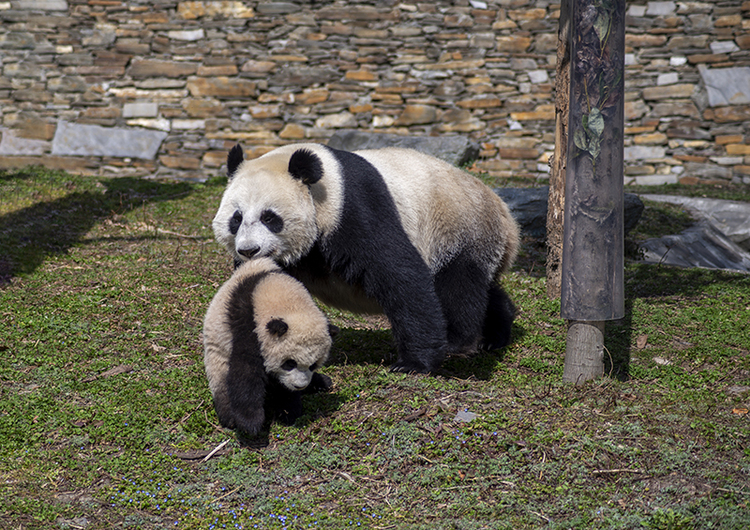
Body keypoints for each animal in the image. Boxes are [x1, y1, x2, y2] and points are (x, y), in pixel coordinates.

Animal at [204, 256, 336, 434]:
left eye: (313, 365)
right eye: (289, 363)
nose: (299, 386)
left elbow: (281, 383)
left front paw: (288, 410)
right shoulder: (246, 324)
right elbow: (246, 369)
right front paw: (250, 423)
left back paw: (321, 382)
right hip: (217, 357)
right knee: (222, 384)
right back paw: (229, 417)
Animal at [212, 143, 516, 372]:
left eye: (269, 217)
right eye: (236, 218)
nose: (249, 250)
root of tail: (507, 217)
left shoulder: (353, 207)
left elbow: (399, 274)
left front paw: (414, 363)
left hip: (459, 228)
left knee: (459, 285)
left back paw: (460, 341)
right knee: (485, 288)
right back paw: (496, 331)